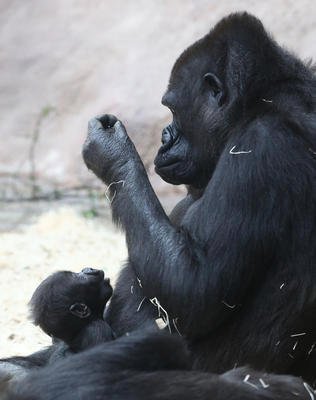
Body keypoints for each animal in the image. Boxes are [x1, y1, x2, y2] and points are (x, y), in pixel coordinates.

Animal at [82, 11, 316, 382]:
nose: (164, 137)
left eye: (172, 109)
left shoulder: (260, 147)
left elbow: (193, 290)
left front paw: (113, 152)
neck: (260, 102)